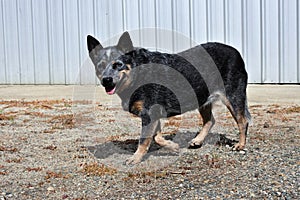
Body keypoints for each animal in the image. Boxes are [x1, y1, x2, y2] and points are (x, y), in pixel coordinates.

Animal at [101, 43, 251, 165]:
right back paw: (197, 140)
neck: (137, 73)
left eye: (118, 64)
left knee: (242, 121)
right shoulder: (153, 115)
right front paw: (172, 146)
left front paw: (135, 158)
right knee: (210, 120)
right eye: (100, 66)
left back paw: (240, 145)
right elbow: (156, 137)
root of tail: (236, 52)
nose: (105, 80)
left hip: (232, 96)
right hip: (202, 98)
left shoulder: (149, 113)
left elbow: (144, 139)